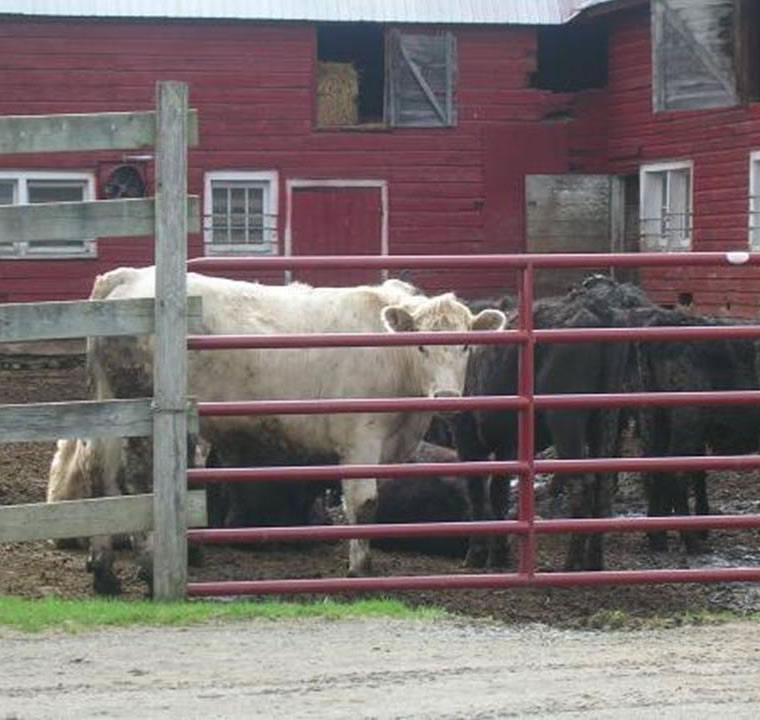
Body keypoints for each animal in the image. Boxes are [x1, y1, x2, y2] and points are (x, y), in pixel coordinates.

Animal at [78, 268, 504, 592]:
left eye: (466, 345)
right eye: (421, 346)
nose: (447, 395)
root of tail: (129, 276)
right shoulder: (360, 438)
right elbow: (364, 504)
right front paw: (360, 573)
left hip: (111, 407)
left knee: (102, 477)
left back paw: (105, 573)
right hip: (140, 412)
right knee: (136, 481)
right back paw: (150, 570)